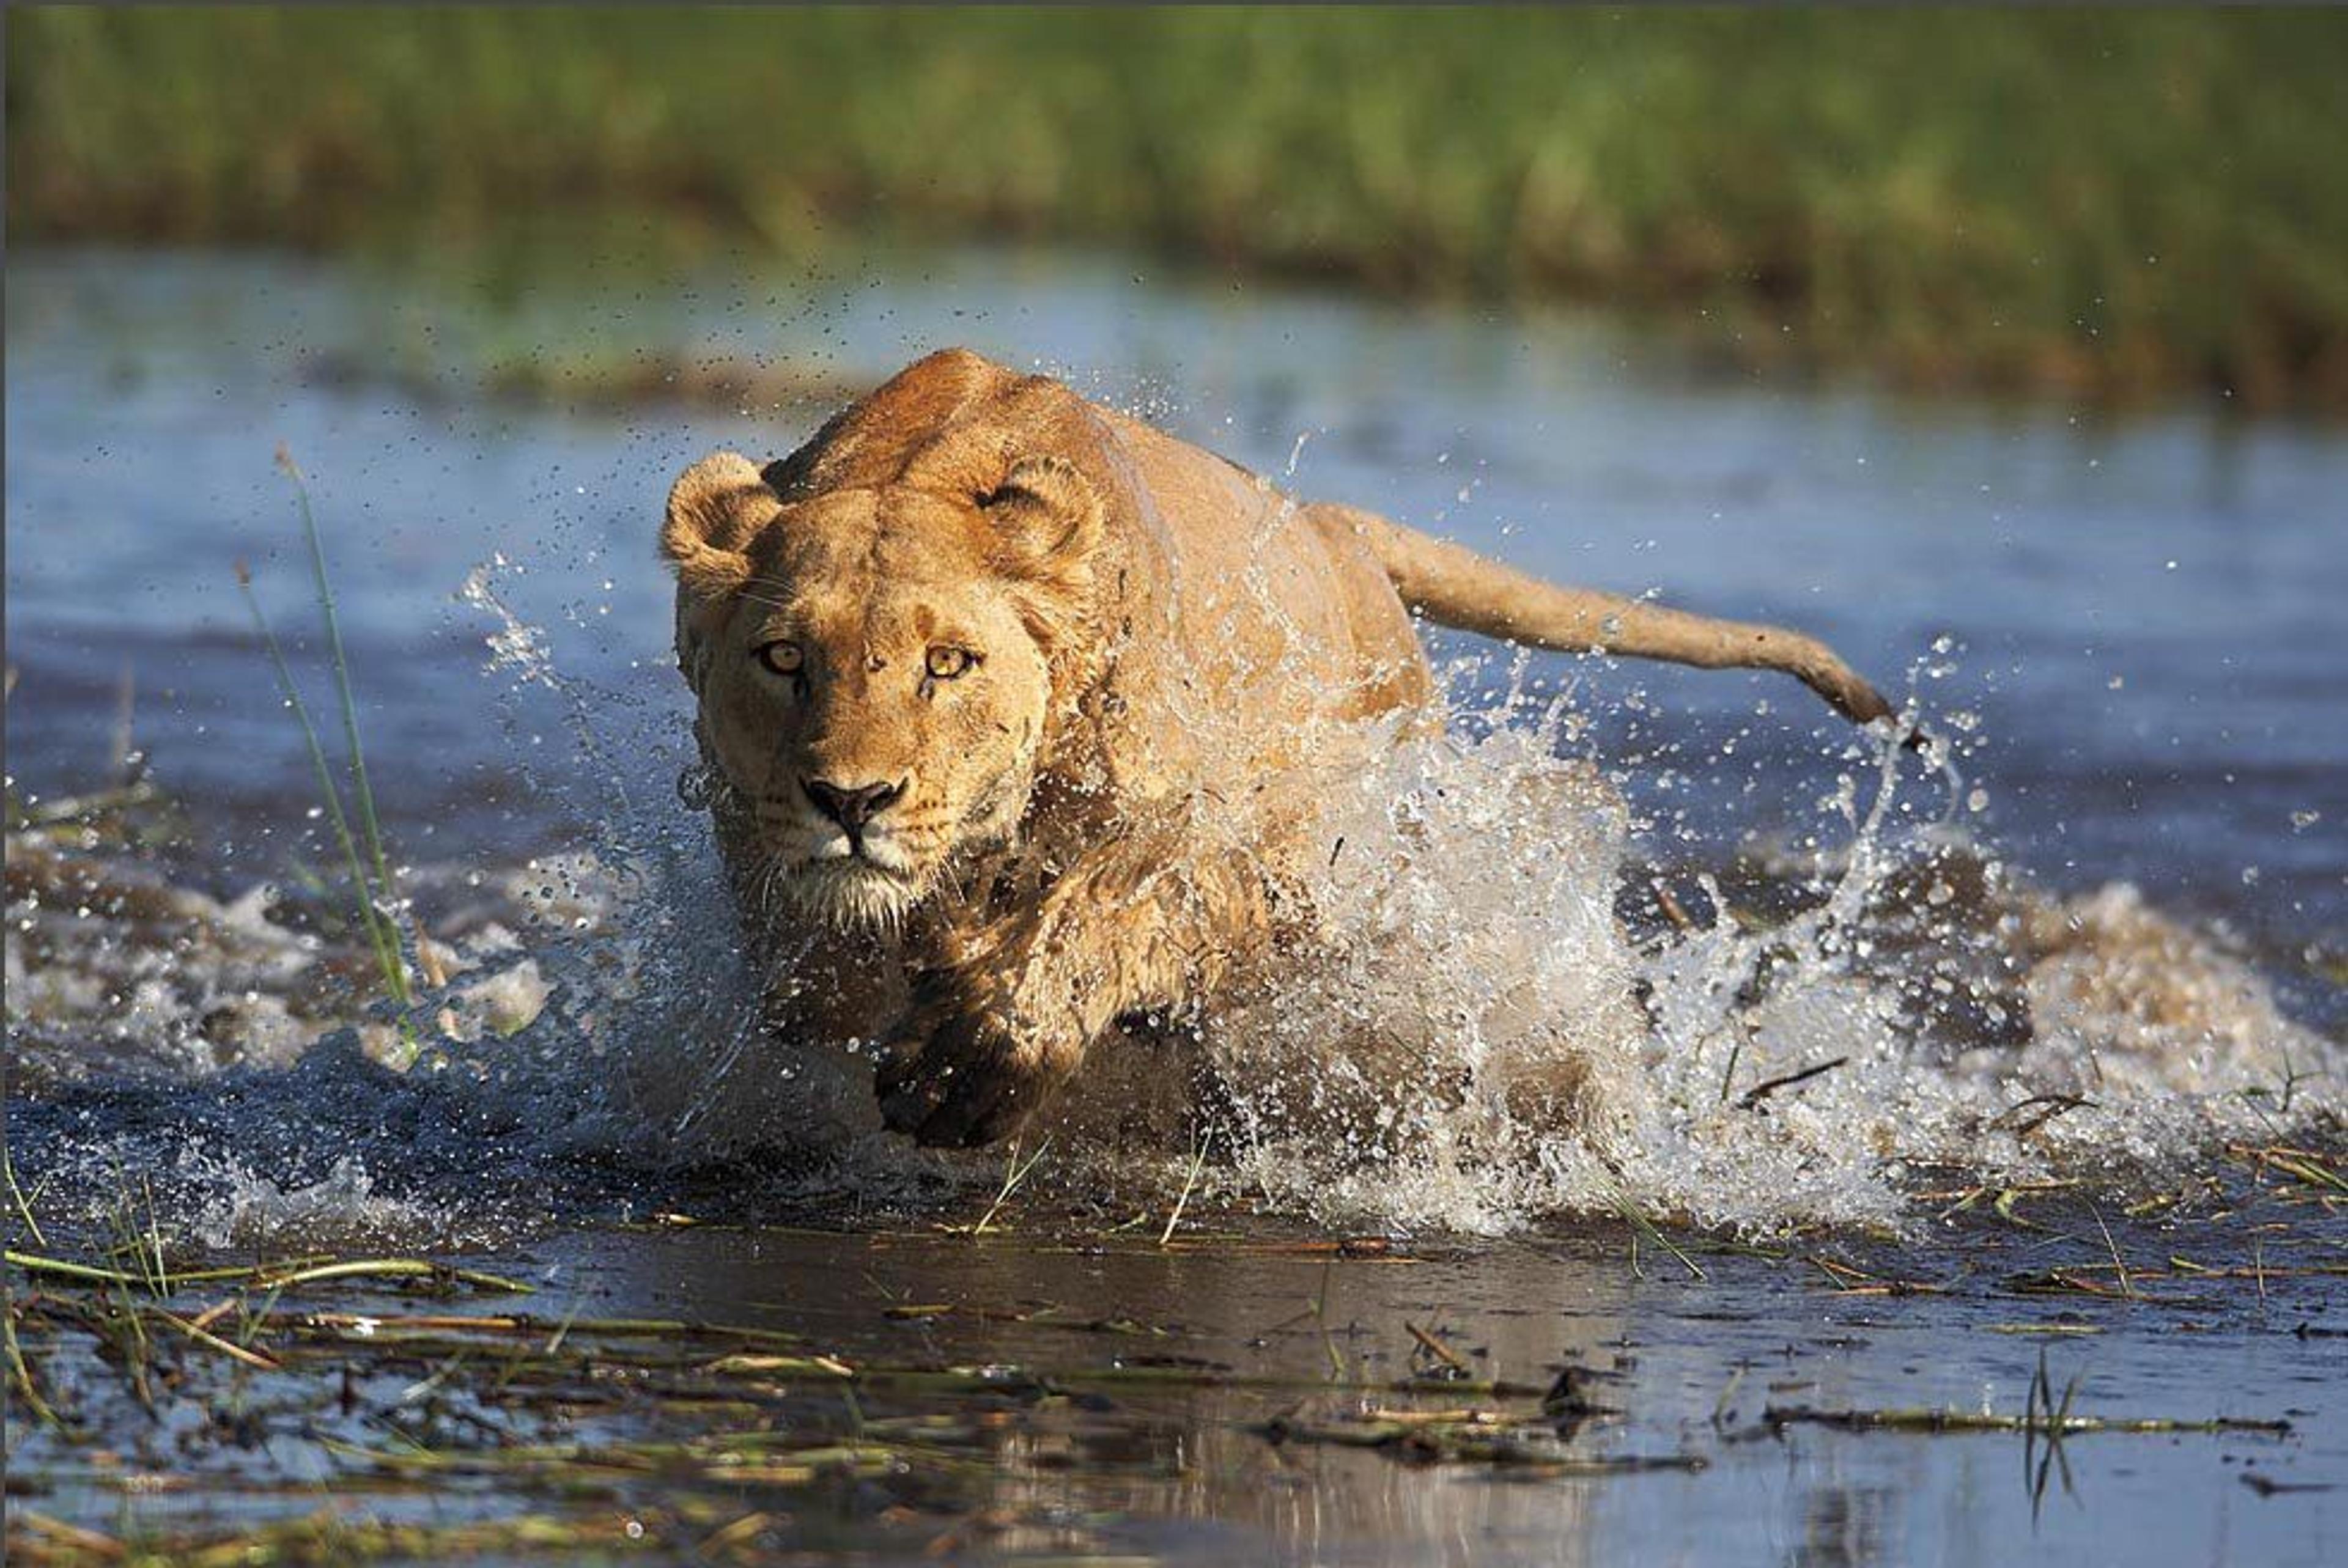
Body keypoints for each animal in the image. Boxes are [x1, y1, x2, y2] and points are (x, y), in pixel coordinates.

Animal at [662, 348, 1897, 1147]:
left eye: (949, 664)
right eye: (784, 658)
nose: (851, 800)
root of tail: (1334, 527)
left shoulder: (1270, 856)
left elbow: (1113, 906)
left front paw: (969, 1060)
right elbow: (816, 992)